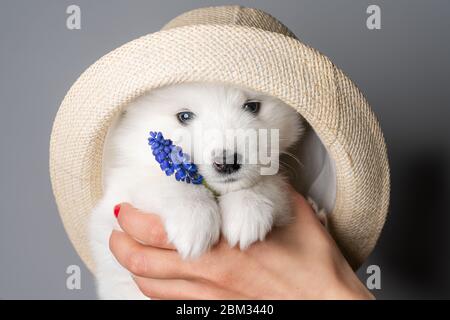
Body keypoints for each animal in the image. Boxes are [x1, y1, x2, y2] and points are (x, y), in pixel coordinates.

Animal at [91, 83, 308, 300]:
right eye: (185, 116)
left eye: (252, 106)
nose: (227, 163)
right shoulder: (118, 195)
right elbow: (159, 180)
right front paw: (193, 216)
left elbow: (269, 182)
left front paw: (247, 207)